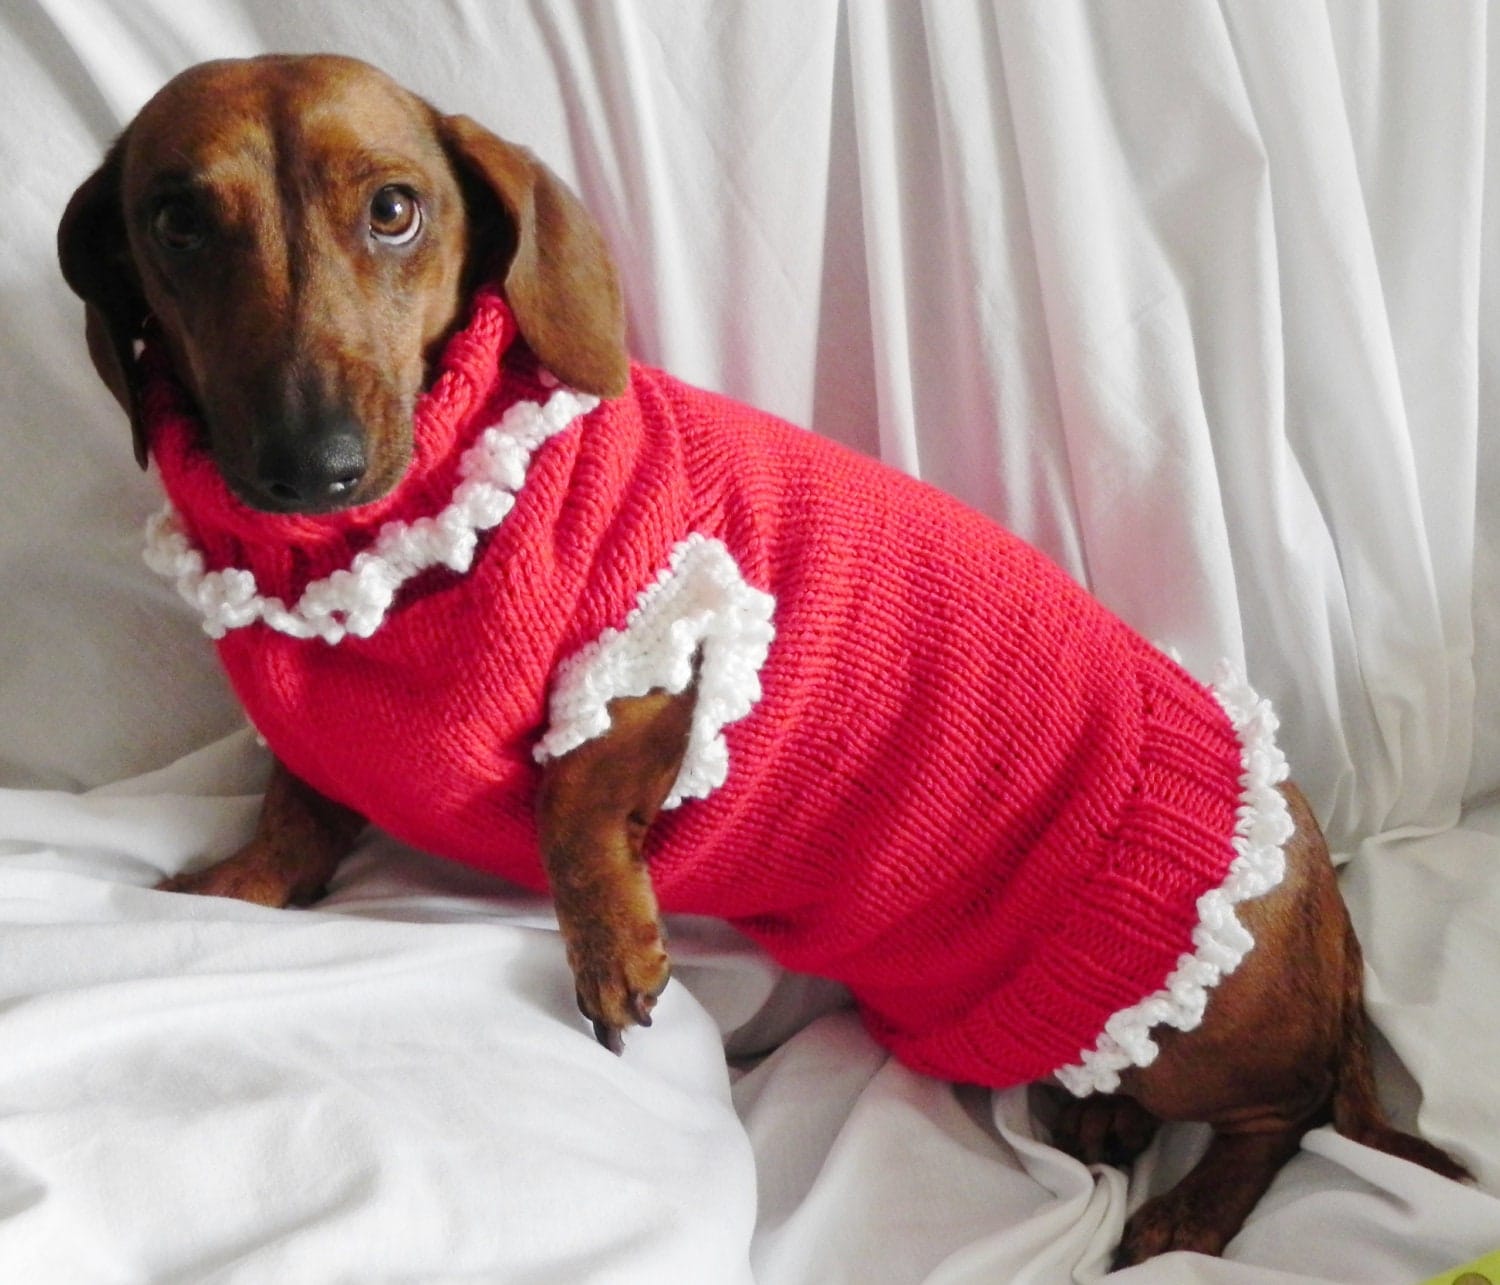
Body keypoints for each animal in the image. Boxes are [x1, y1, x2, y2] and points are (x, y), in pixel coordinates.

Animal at [55, 55, 1464, 1259]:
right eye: (177, 222)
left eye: (396, 210)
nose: (313, 465)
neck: (380, 556)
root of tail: (1330, 911)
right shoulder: (330, 745)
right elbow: (294, 815)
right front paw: (233, 887)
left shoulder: (672, 636)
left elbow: (572, 802)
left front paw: (611, 951)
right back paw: (1101, 1119)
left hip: (1199, 1019)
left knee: (1286, 1115)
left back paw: (1190, 1212)